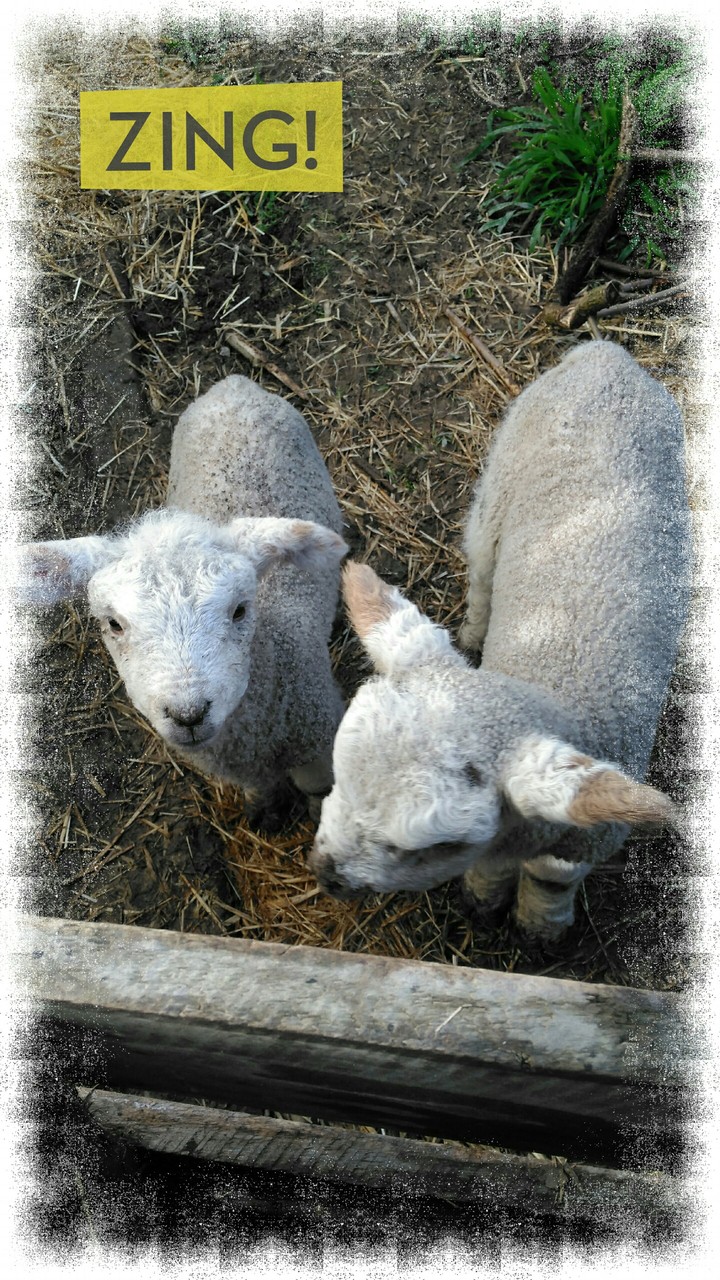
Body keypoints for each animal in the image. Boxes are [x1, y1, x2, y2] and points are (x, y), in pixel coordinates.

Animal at [19, 375, 348, 825]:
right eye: (114, 623)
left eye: (240, 610)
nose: (188, 715)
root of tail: (233, 386)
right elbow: (262, 789)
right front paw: (262, 811)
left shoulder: (319, 738)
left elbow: (321, 788)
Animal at [309, 341, 691, 941]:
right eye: (338, 776)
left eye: (435, 846)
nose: (324, 873)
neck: (554, 685)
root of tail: (609, 354)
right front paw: (484, 899)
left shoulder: (582, 839)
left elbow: (552, 878)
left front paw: (541, 925)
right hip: (496, 488)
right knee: (483, 575)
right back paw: (472, 631)